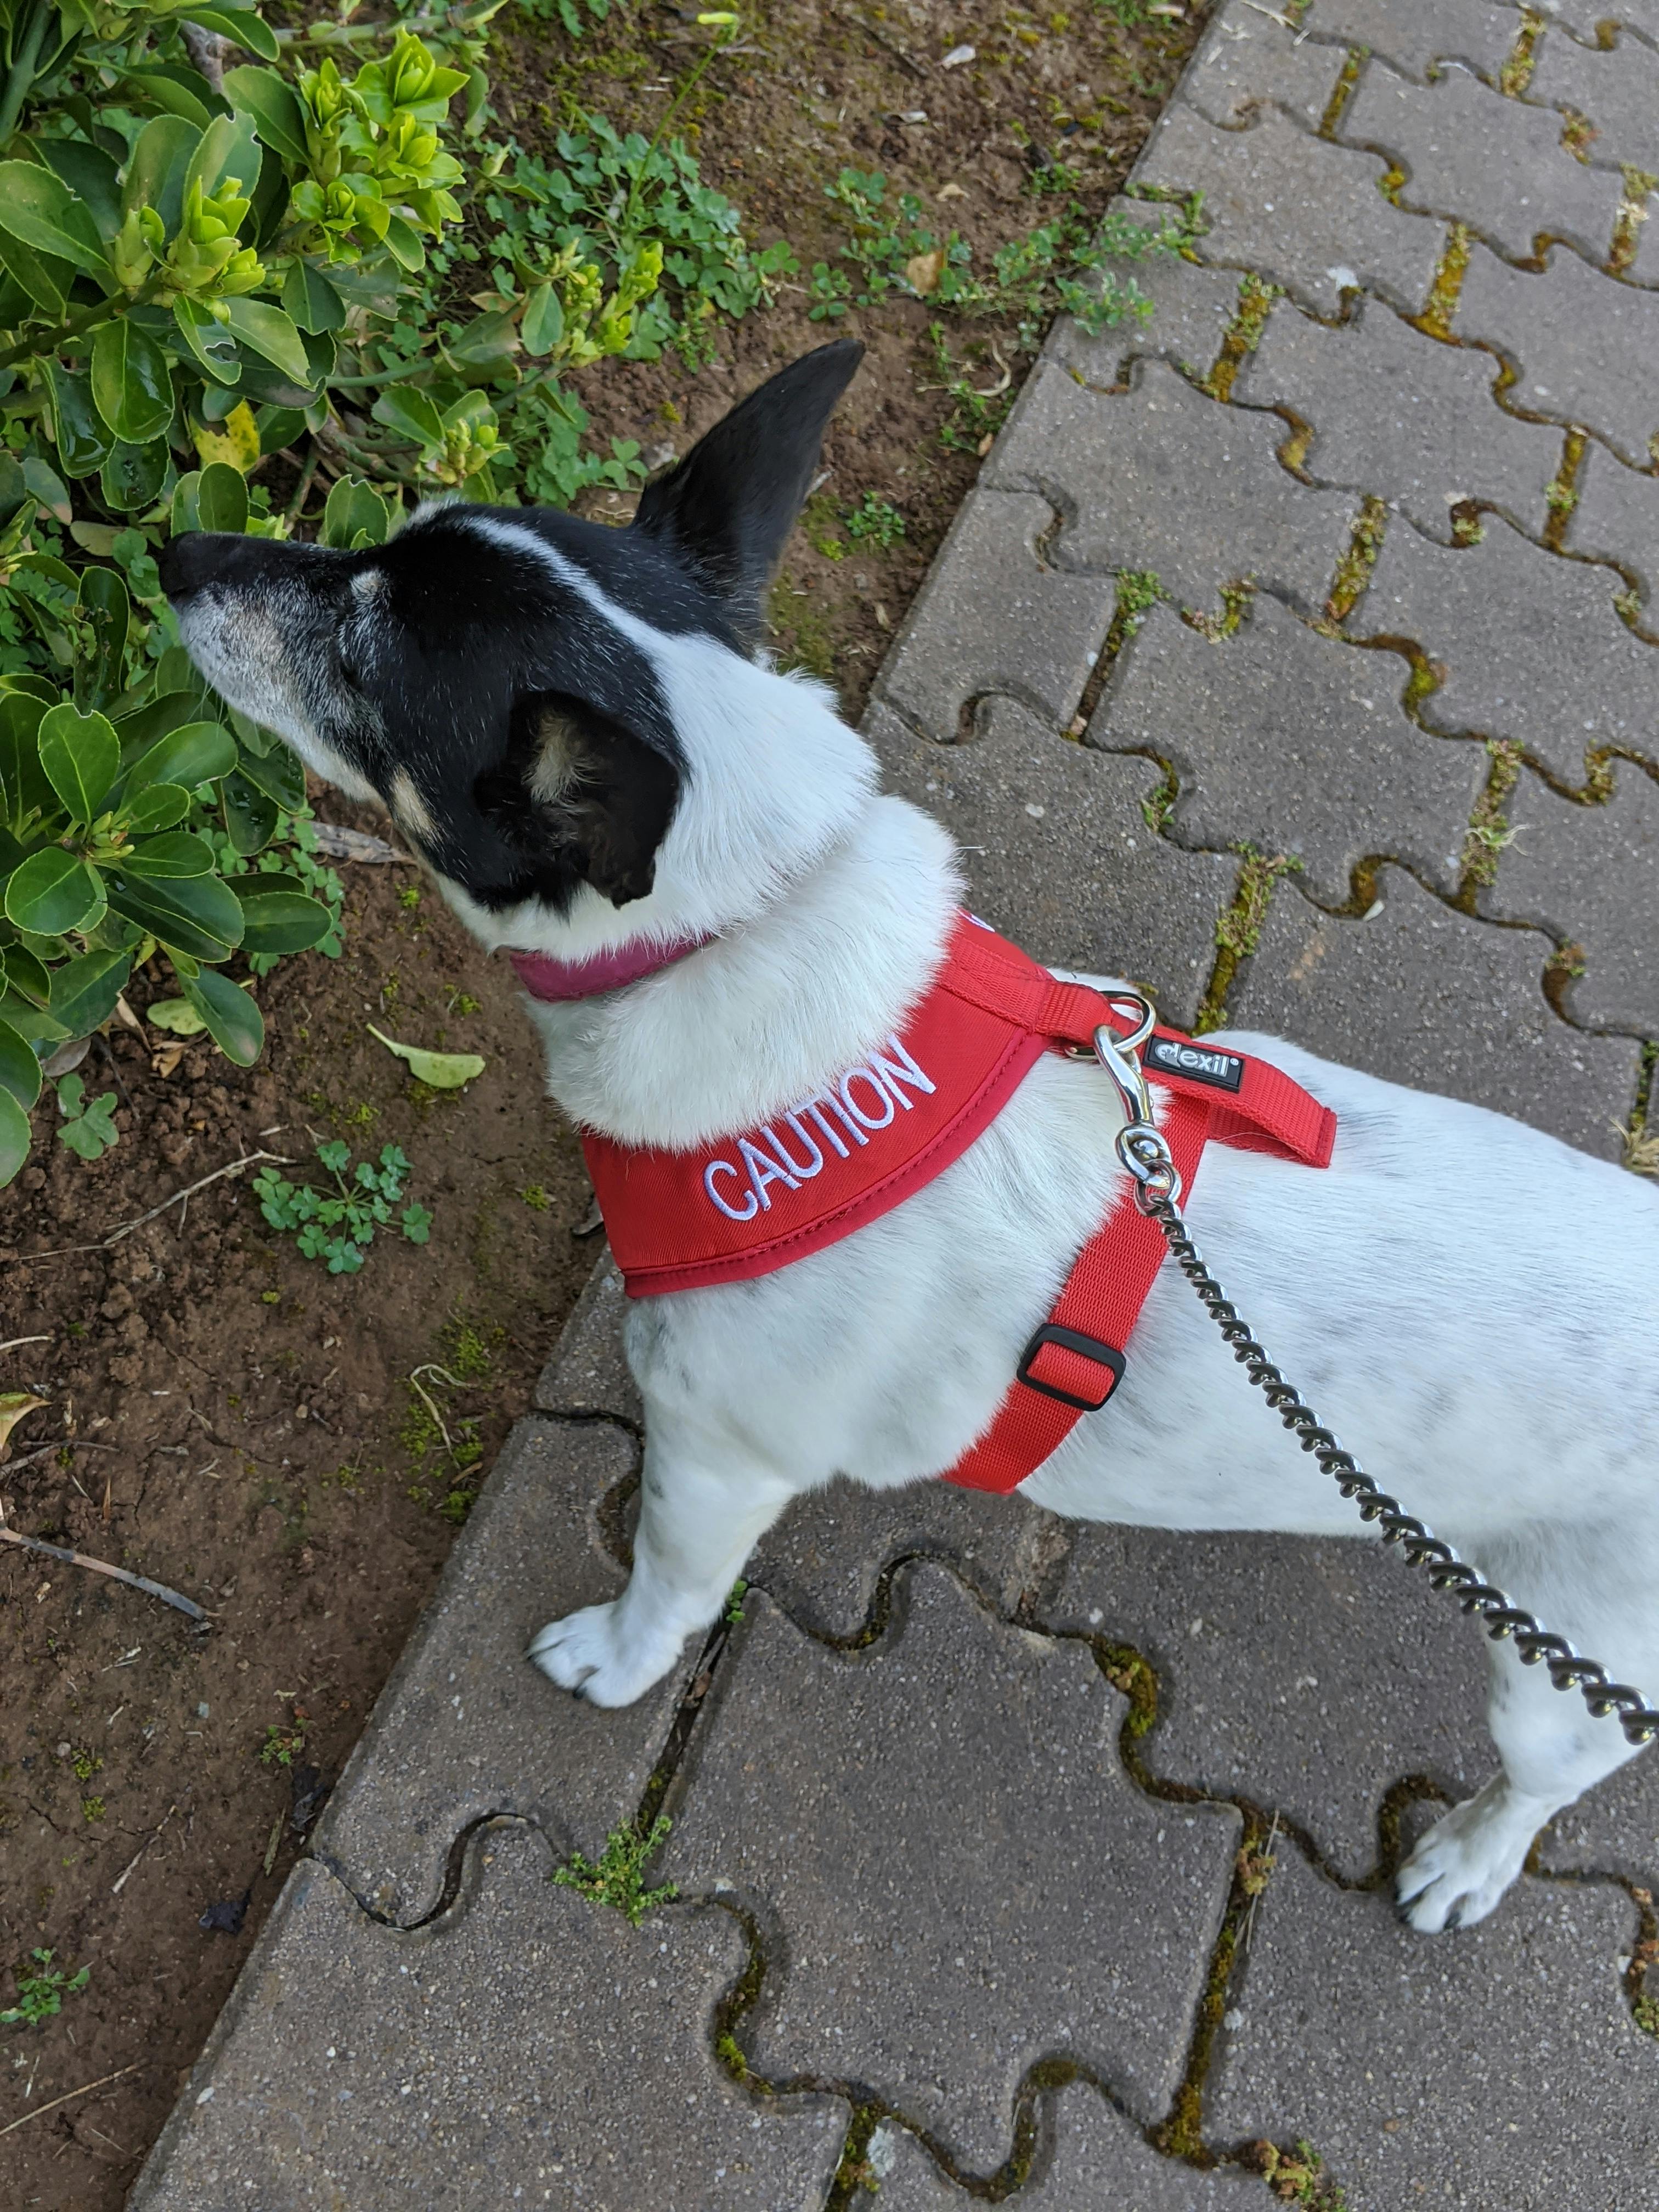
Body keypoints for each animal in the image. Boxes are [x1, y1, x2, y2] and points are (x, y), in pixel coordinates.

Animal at [161, 339, 1659, 1934]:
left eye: (363, 669)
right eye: (369, 550)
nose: (177, 550)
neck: (763, 922)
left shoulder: (714, 1459)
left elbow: (663, 1592)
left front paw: (614, 1664)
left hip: (1567, 1674)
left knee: (1546, 1781)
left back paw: (1468, 1861)